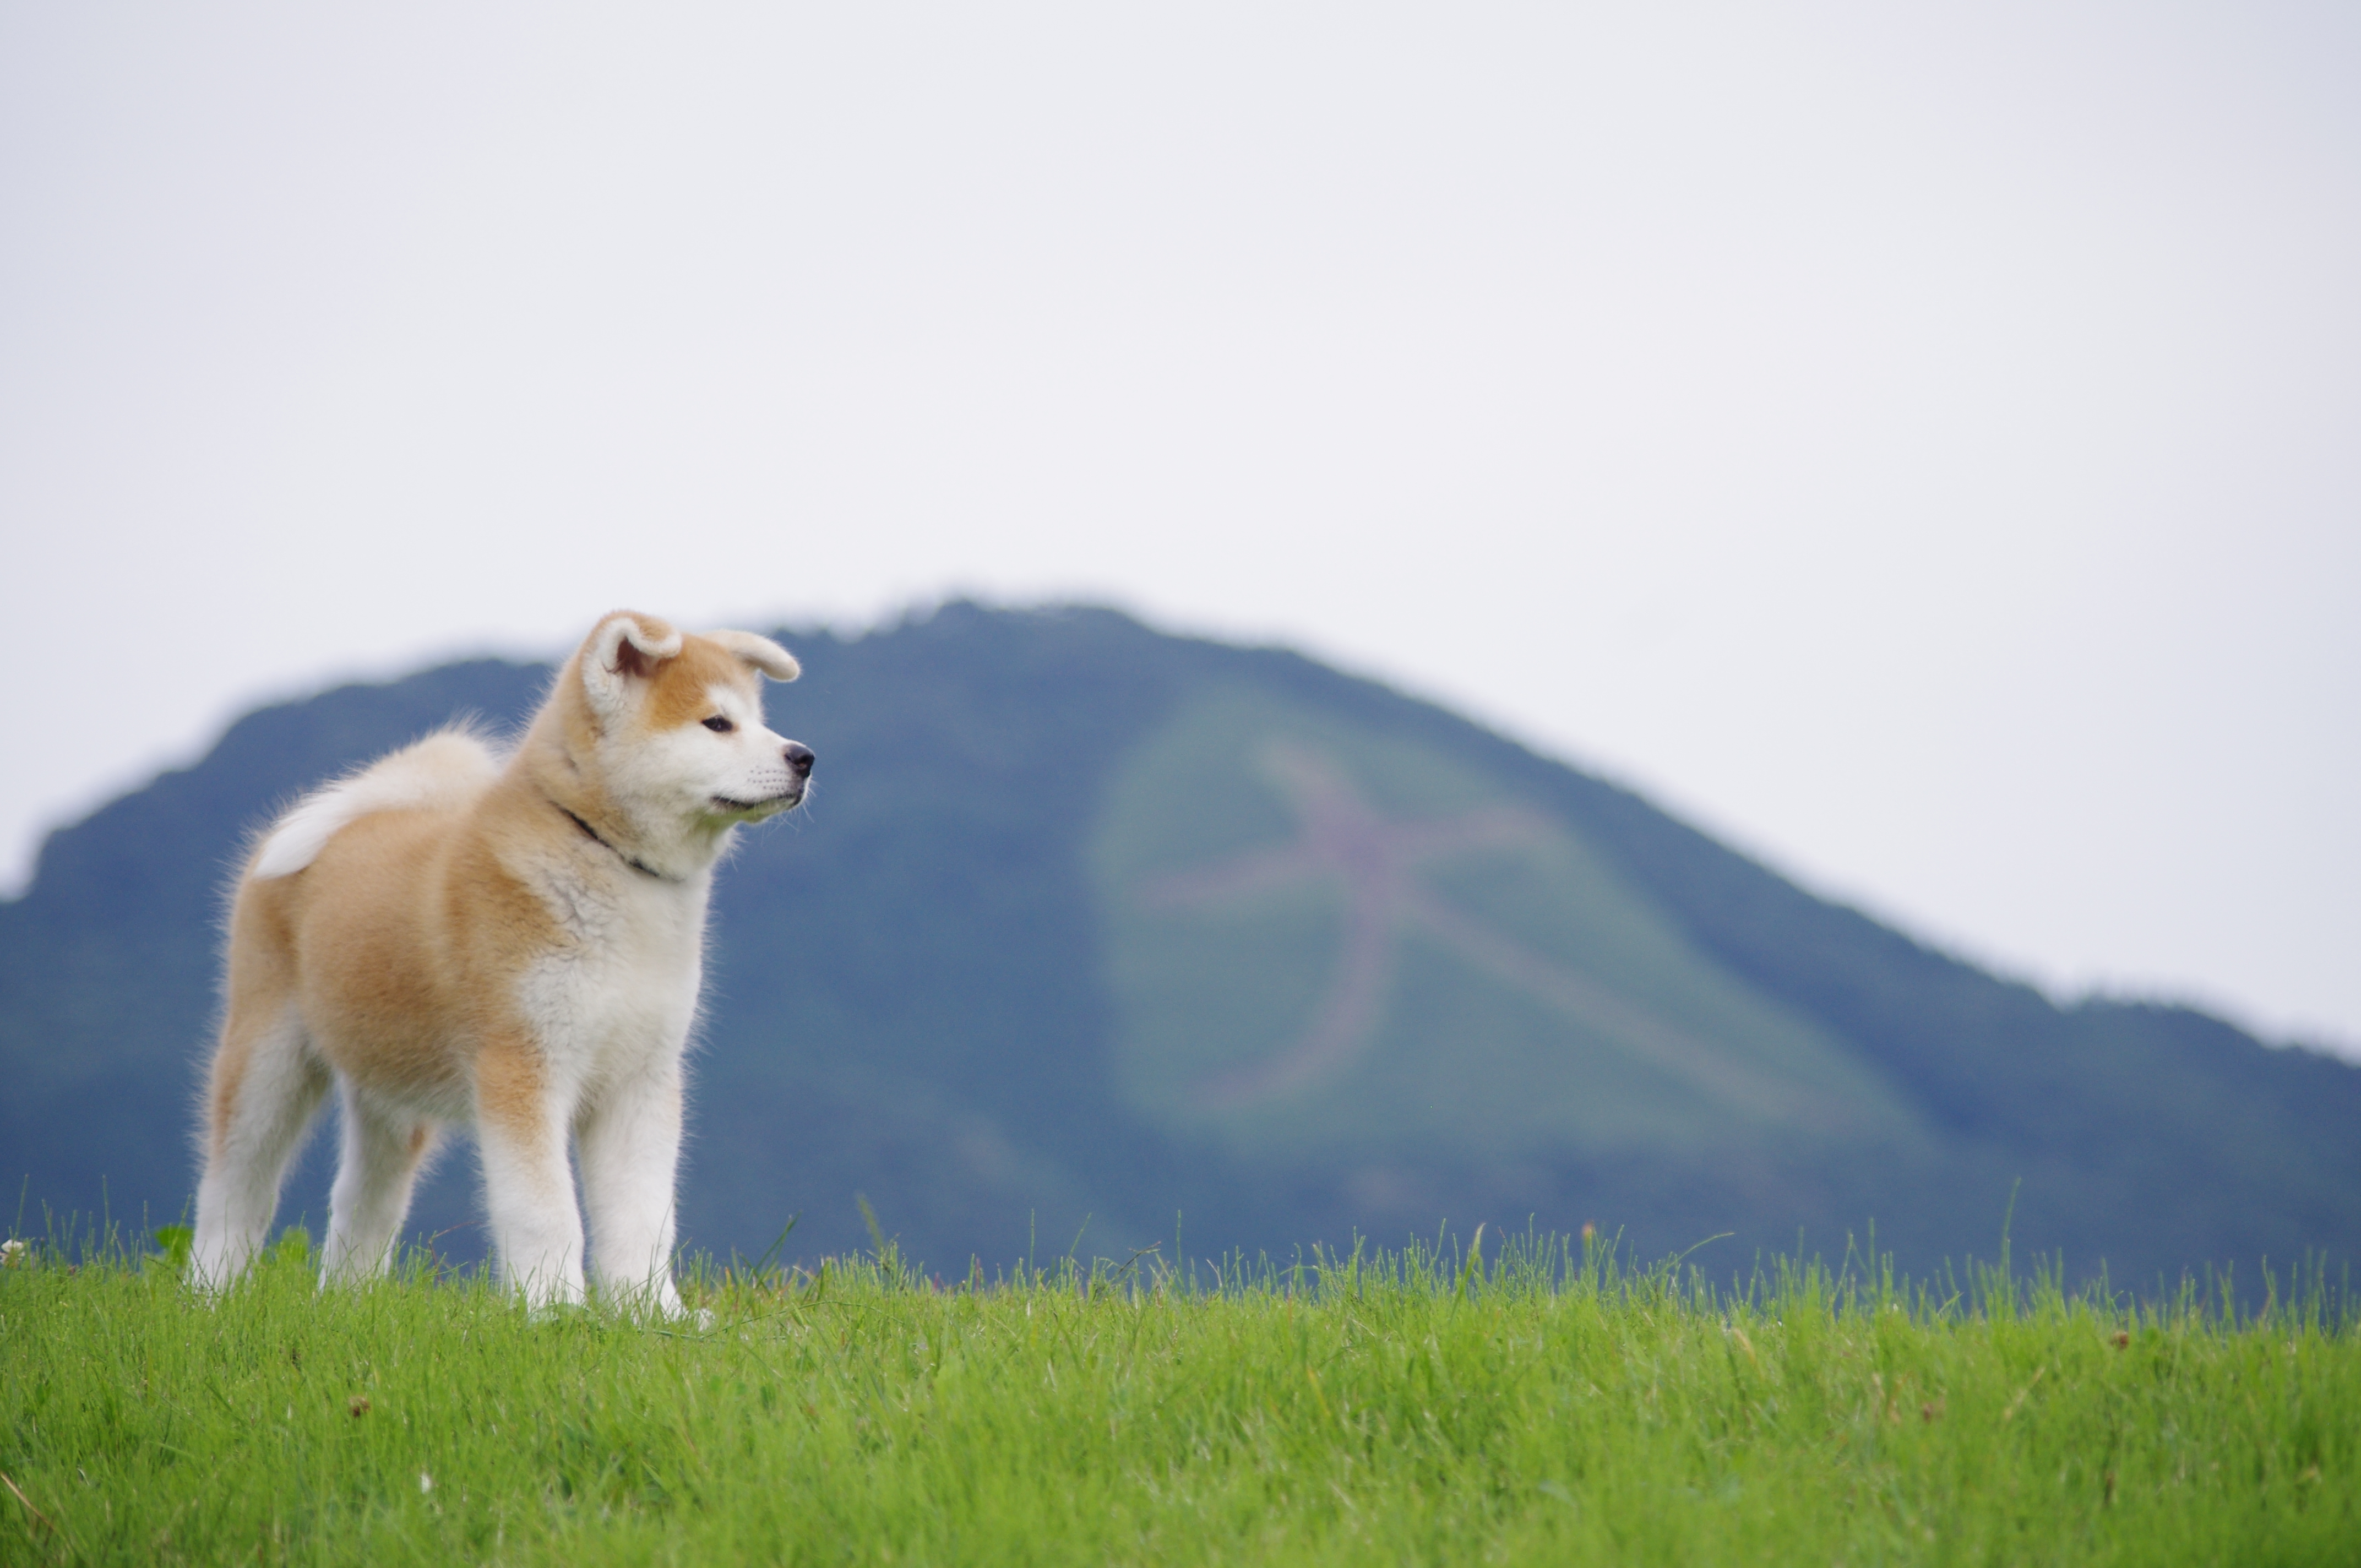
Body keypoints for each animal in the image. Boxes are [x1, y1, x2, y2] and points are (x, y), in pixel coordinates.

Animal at [189, 605, 812, 1313]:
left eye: (758, 719)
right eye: (717, 723)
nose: (804, 757)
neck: (603, 857)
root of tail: (364, 807)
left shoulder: (642, 1079)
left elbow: (644, 1215)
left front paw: (653, 1311)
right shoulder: (523, 1065)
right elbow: (545, 1211)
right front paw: (553, 1309)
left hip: (391, 1096)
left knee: (360, 1201)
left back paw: (349, 1304)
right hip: (268, 1058)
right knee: (235, 1190)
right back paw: (210, 1295)